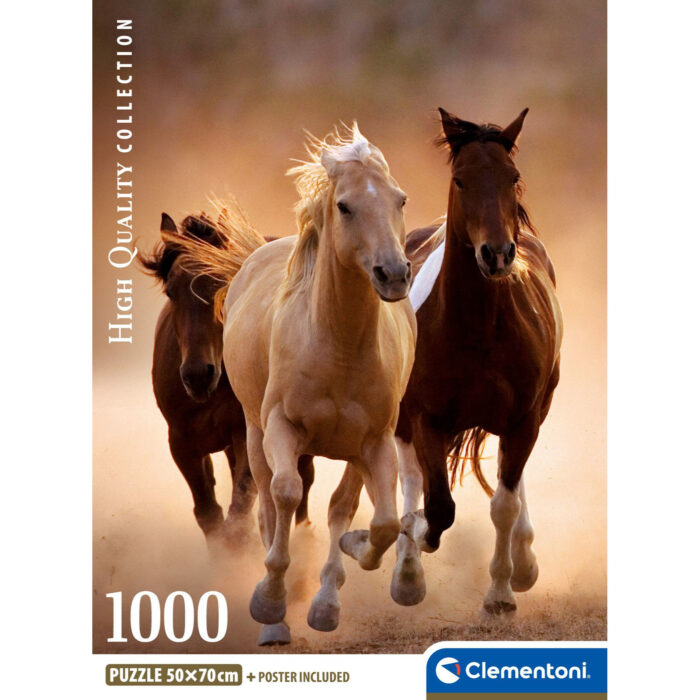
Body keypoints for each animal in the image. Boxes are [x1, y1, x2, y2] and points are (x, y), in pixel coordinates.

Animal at [138, 210, 315, 645]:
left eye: (221, 284)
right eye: (171, 291)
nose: (197, 375)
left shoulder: (245, 434)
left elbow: (239, 513)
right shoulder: (182, 442)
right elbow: (209, 513)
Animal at [172, 124, 416, 641]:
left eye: (400, 199)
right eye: (344, 206)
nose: (393, 273)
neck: (337, 345)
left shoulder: (376, 441)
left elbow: (380, 521)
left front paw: (348, 559)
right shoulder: (281, 428)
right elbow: (284, 496)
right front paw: (269, 601)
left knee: (341, 505)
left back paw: (325, 599)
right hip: (253, 433)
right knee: (268, 502)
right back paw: (276, 620)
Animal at [392, 108, 563, 615]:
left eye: (513, 177)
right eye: (460, 179)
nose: (498, 254)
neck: (479, 328)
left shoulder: (524, 418)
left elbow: (503, 503)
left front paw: (502, 592)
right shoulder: (425, 417)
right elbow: (437, 507)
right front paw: (416, 539)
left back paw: (523, 563)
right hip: (403, 417)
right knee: (411, 478)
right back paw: (406, 572)